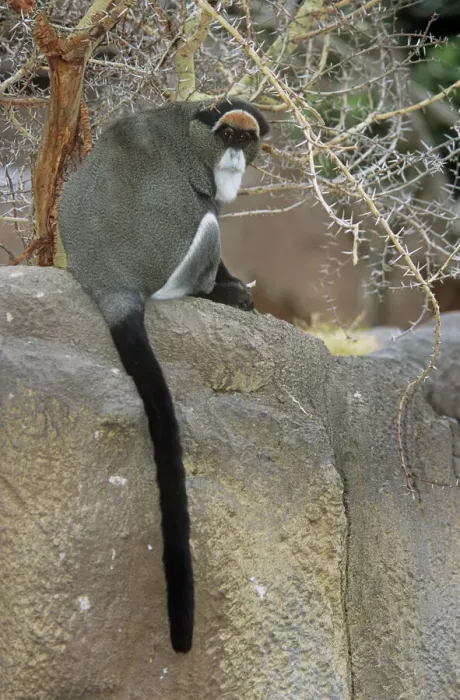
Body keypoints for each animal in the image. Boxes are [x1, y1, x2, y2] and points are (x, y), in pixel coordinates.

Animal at [58, 98, 270, 654]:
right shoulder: (198, 185)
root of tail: (110, 285)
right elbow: (206, 215)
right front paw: (231, 290)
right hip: (174, 273)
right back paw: (212, 293)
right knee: (208, 228)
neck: (190, 128)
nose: (235, 159)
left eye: (247, 139)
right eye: (227, 137)